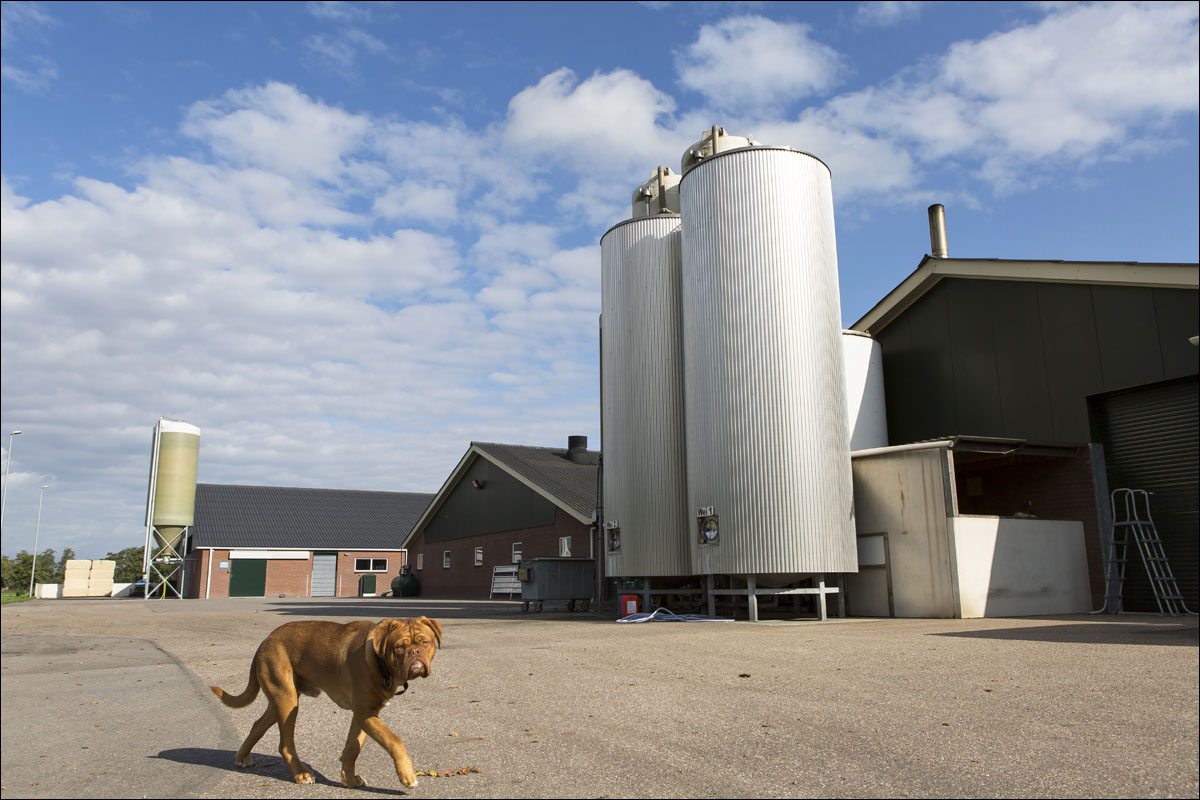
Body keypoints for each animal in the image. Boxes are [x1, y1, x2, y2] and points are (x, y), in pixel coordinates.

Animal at [209, 616, 442, 788]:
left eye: (425, 642)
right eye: (400, 647)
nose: (415, 652)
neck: (380, 661)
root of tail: (265, 641)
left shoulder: (366, 714)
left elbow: (353, 747)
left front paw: (349, 779)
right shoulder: (365, 713)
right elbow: (394, 740)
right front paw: (407, 775)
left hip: (282, 697)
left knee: (258, 724)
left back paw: (242, 757)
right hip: (287, 701)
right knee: (285, 744)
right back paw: (301, 774)